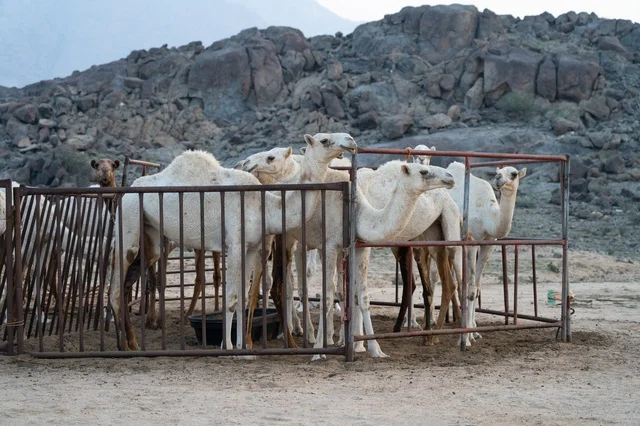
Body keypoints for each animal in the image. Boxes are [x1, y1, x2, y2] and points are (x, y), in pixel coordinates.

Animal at [109, 133, 357, 352]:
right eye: (325, 140)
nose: (351, 141)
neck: (264, 204)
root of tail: (127, 192)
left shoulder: (251, 247)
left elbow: (244, 296)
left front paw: (242, 346)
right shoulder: (235, 244)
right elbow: (231, 297)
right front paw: (228, 347)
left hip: (152, 237)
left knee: (128, 282)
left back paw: (133, 343)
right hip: (128, 222)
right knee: (115, 288)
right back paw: (122, 346)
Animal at [445, 161, 526, 345]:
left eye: (514, 173)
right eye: (498, 171)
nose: (498, 178)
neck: (488, 215)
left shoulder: (488, 244)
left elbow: (477, 289)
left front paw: (474, 333)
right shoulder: (472, 241)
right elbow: (469, 290)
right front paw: (466, 338)